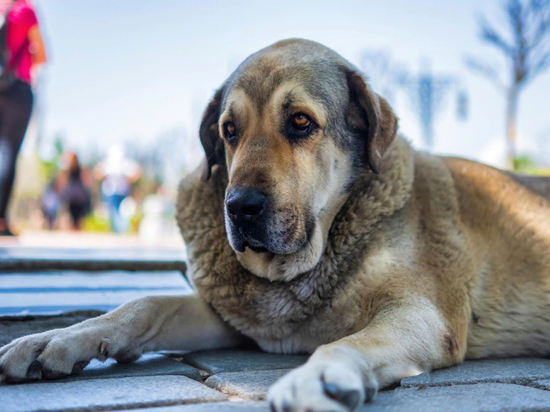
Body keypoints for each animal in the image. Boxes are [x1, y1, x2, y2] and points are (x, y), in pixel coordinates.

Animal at [1, 39, 550, 412]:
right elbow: (144, 305)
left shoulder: (423, 314)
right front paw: (55, 339)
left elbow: (345, 341)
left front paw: (319, 377)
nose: (239, 207)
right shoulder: (237, 319)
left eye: (301, 122)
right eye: (229, 131)